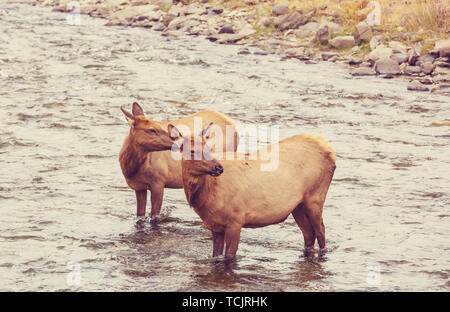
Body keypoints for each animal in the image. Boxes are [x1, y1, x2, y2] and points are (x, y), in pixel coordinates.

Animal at [171, 123, 336, 260]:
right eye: (192, 151)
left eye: (209, 148)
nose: (218, 168)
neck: (206, 198)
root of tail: (330, 150)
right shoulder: (215, 225)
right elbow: (216, 256)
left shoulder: (236, 220)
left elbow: (229, 257)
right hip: (298, 206)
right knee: (309, 234)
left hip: (315, 196)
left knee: (321, 231)